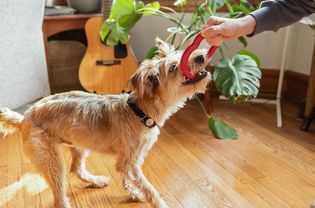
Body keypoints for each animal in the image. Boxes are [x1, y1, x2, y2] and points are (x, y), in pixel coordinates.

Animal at [0, 37, 212, 208]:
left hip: (79, 146)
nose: (201, 57)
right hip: (51, 161)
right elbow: (149, 188)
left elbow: (127, 179)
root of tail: (23, 118)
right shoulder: (131, 163)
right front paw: (158, 202)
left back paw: (95, 181)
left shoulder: (128, 161)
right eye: (173, 68)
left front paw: (134, 193)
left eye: (182, 55)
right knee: (59, 196)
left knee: (76, 168)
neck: (139, 112)